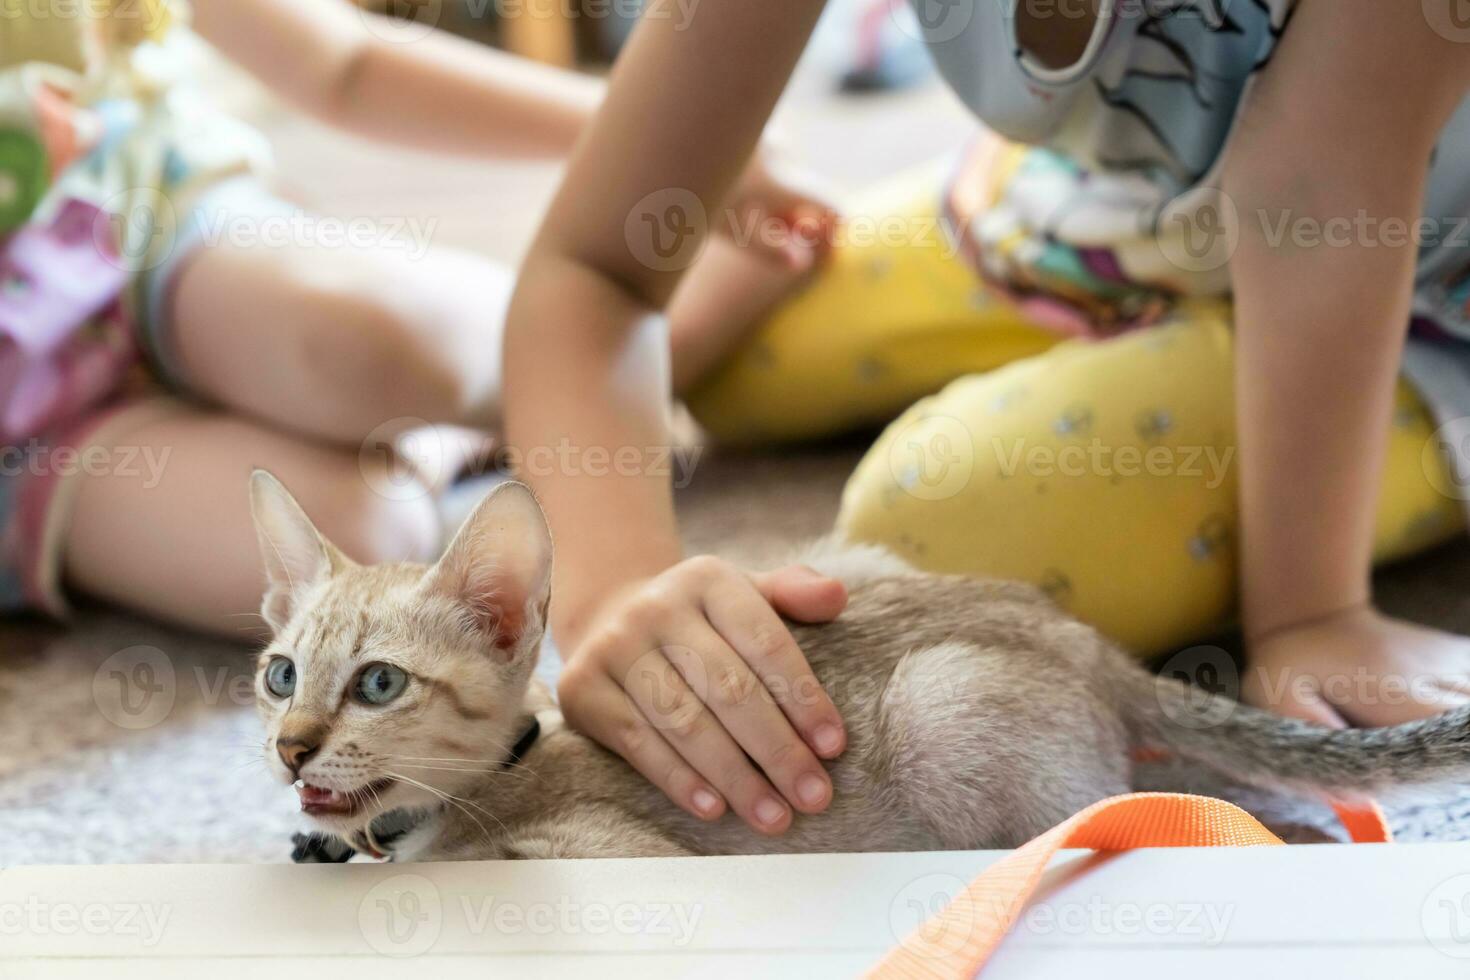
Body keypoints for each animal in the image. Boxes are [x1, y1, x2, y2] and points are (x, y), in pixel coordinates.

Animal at [252, 470, 1470, 863]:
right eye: (280, 675)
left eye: (377, 682)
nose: (290, 749)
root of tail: (1080, 639)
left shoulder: (615, 858)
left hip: (945, 708)